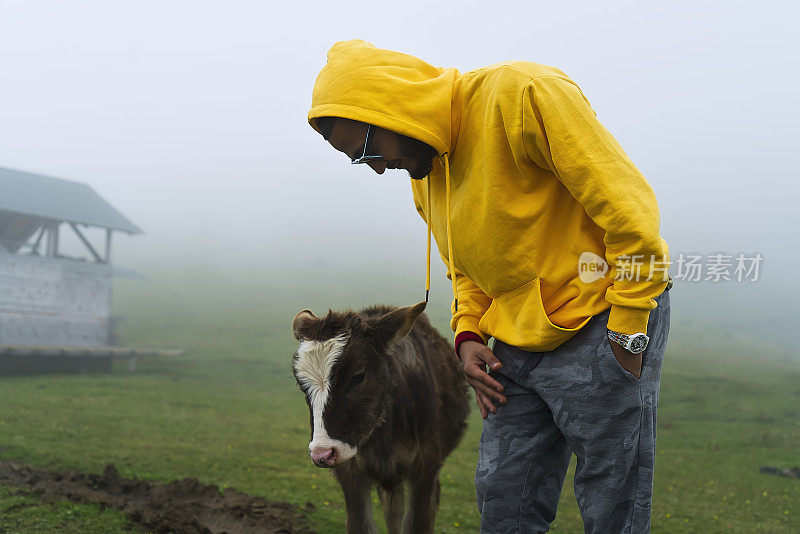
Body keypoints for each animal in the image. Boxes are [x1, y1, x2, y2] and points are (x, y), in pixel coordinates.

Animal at [292, 304, 468, 532]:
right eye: (301, 383)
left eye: (357, 376)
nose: (323, 453)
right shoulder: (351, 474)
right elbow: (361, 525)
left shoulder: (426, 468)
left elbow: (418, 522)